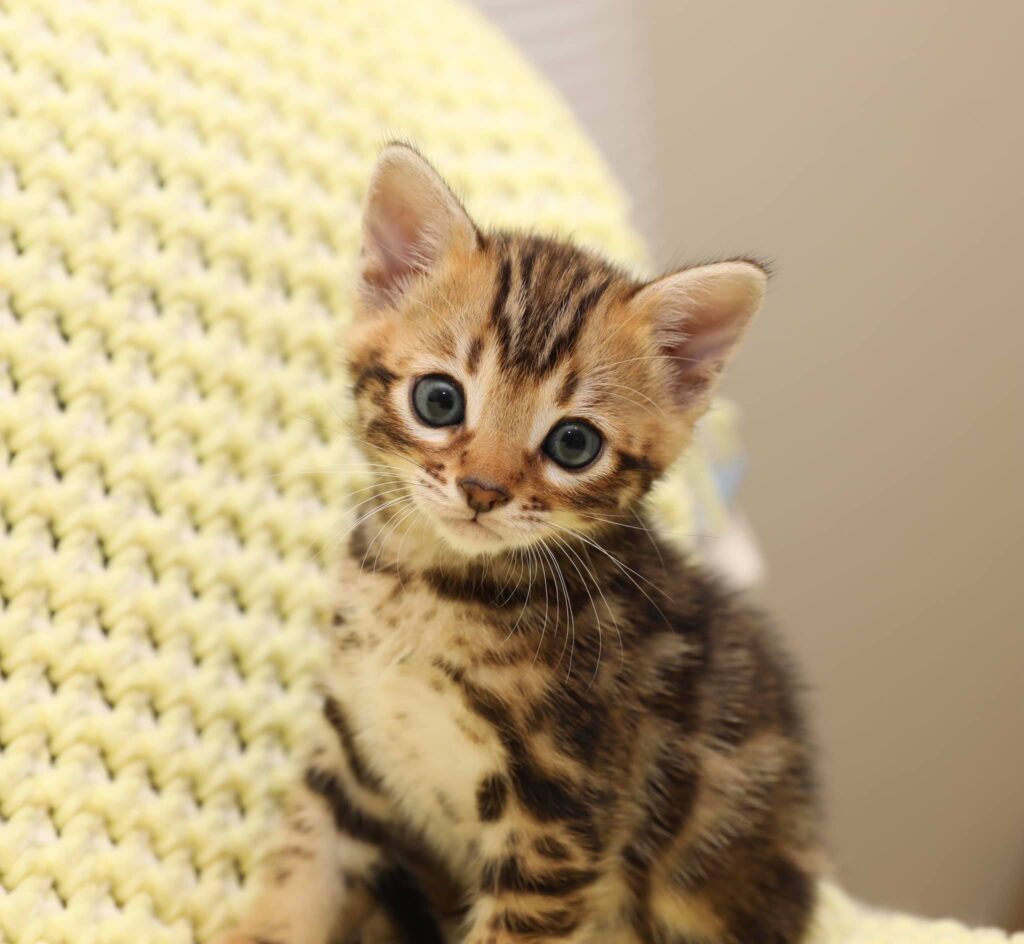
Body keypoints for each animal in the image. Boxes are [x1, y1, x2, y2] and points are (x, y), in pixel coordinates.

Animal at [218, 141, 823, 941]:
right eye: (439, 399)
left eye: (573, 443)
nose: (482, 490)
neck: (431, 588)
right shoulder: (352, 745)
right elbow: (304, 867)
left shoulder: (559, 819)